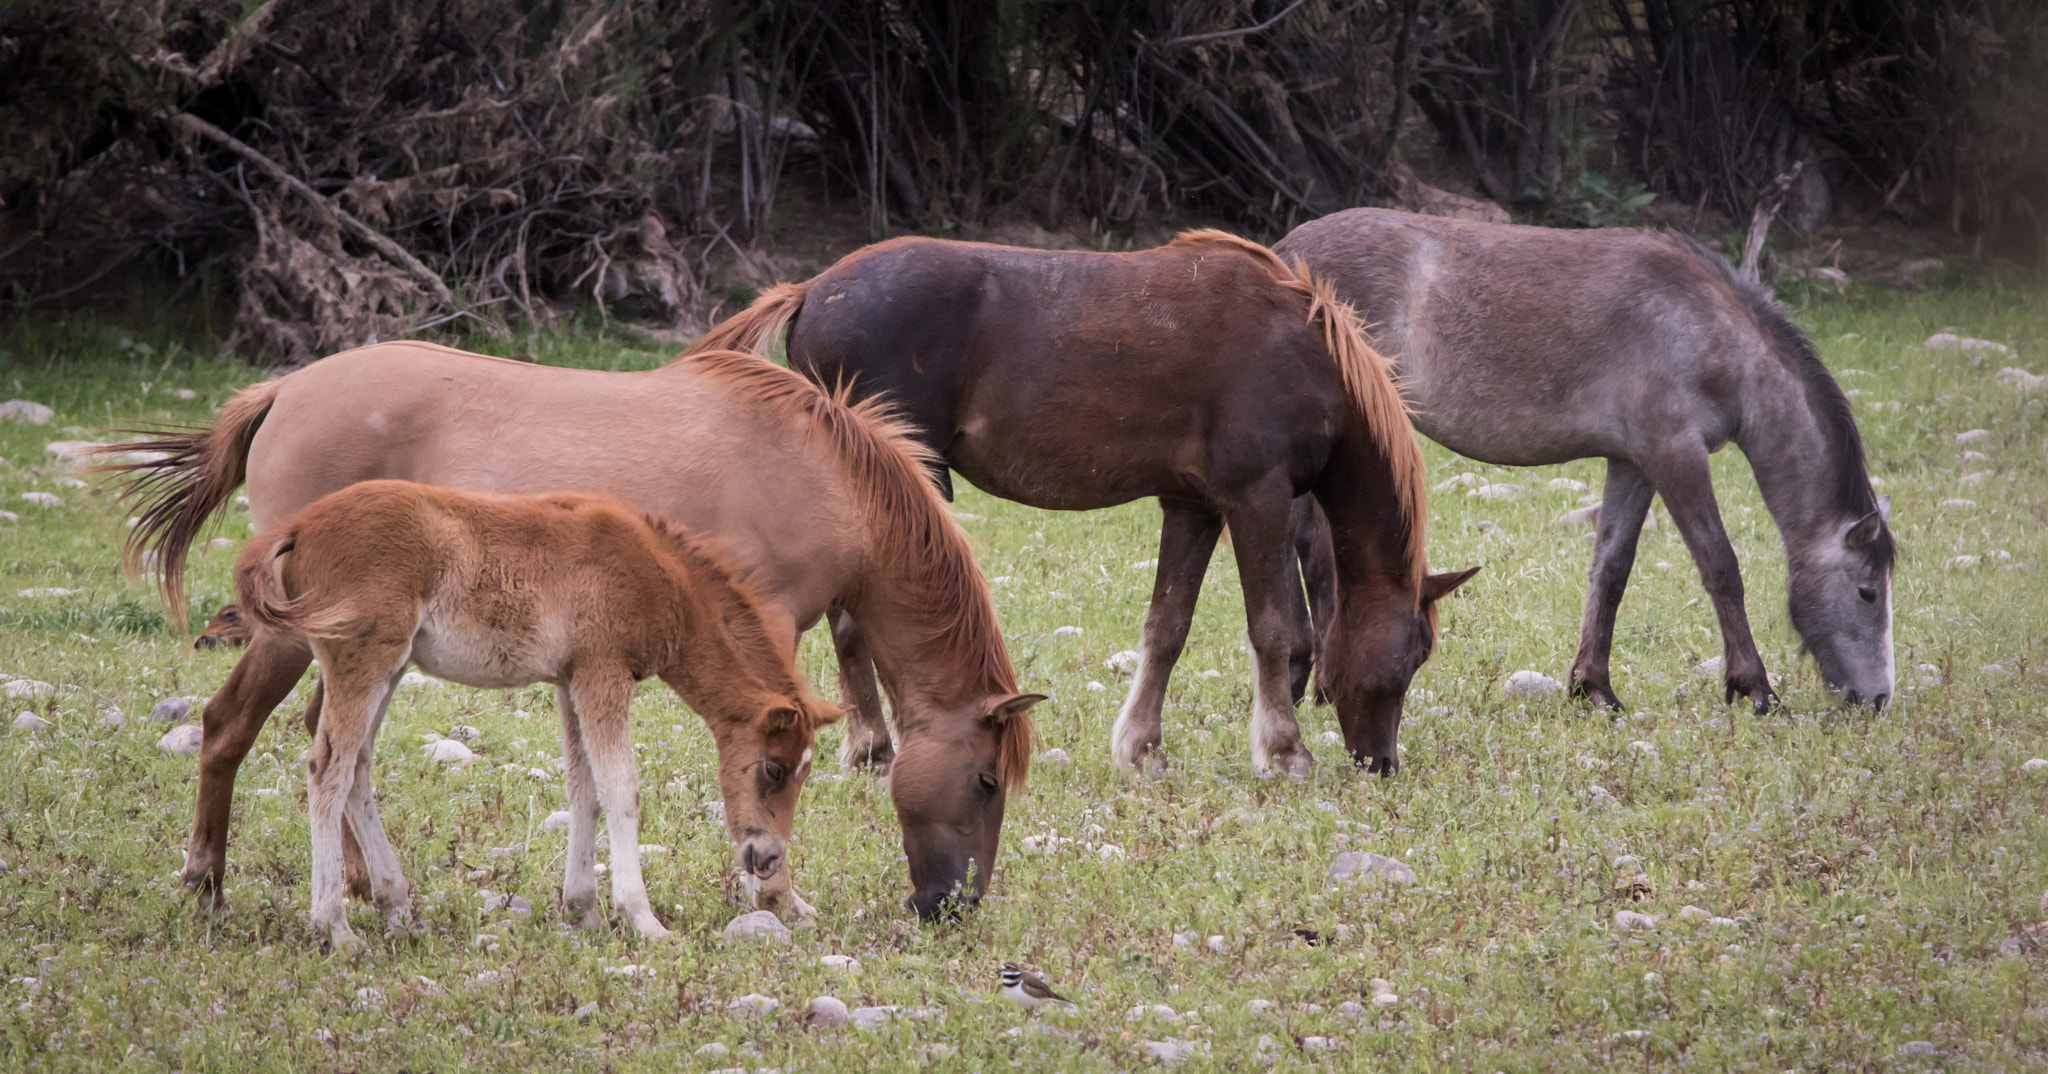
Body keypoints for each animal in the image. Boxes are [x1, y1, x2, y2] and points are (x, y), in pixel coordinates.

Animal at [234, 480, 842, 950]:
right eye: (773, 770)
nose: (766, 858)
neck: (659, 573)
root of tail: (300, 527)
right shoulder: (602, 671)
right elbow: (621, 788)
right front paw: (643, 920)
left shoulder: (572, 679)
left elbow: (584, 788)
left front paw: (584, 910)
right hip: (363, 657)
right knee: (327, 769)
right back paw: (335, 927)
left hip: (391, 664)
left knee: (357, 767)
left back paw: (397, 909)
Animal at [692, 230, 1479, 777]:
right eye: (1414, 652)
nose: (1381, 764)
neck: (1304, 352)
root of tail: (813, 289)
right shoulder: (1258, 497)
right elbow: (1276, 630)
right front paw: (1285, 752)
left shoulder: (1193, 506)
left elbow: (1168, 627)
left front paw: (1142, 749)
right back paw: (880, 747)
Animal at [1272, 208, 1895, 711]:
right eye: (1868, 591)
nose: (1878, 699)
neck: (1704, 327)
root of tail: (1281, 254)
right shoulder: (1676, 455)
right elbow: (1721, 566)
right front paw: (1754, 688)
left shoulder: (1634, 463)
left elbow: (1611, 569)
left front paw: (1593, 688)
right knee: (1314, 553)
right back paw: (1318, 683)